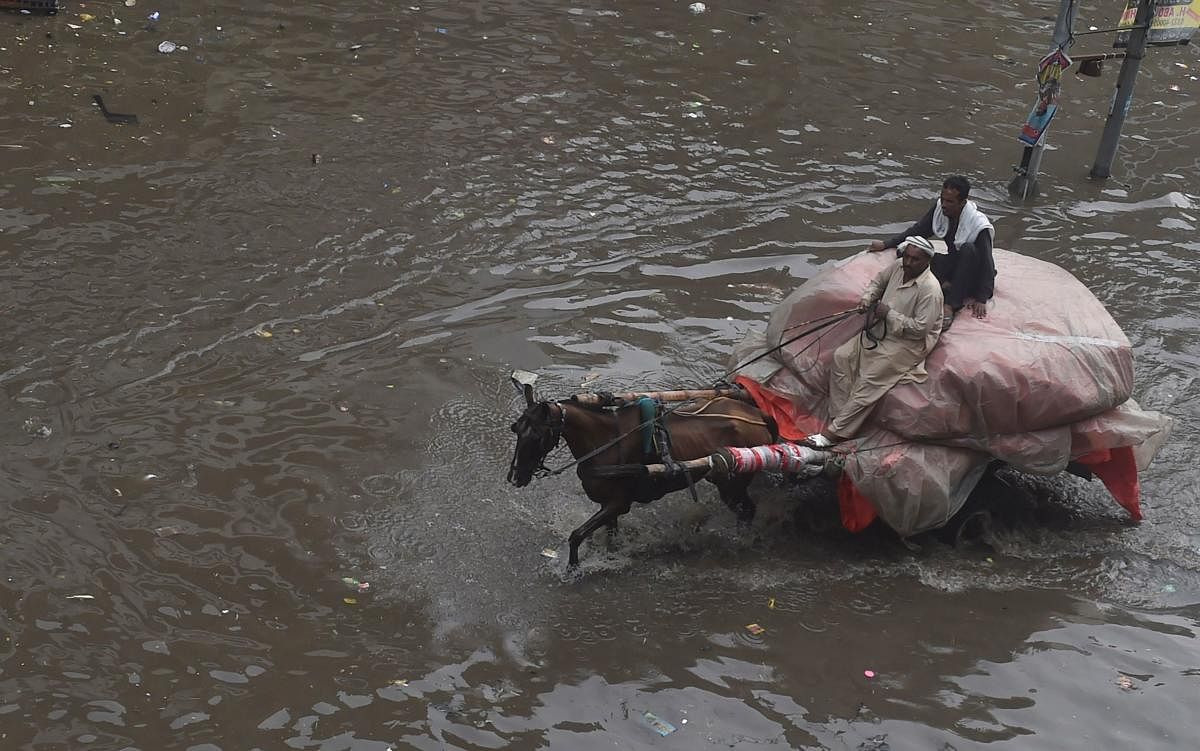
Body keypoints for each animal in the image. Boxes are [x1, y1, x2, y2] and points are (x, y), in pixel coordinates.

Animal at [506, 383, 777, 563]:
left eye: (537, 435)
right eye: (515, 429)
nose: (516, 476)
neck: (607, 441)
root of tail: (758, 415)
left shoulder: (618, 503)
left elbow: (576, 536)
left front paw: (572, 568)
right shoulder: (609, 506)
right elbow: (610, 536)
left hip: (733, 482)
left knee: (747, 510)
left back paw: (740, 540)